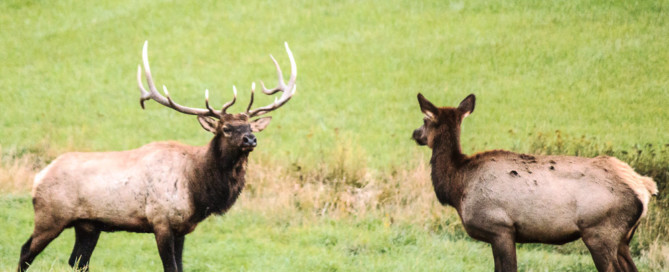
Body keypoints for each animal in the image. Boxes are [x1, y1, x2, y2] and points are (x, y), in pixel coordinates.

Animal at [17, 41, 298, 272]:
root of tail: (38, 176)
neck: (198, 188)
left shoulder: (183, 228)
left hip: (87, 225)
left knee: (77, 262)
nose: (250, 140)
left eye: (250, 126)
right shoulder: (160, 220)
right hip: (50, 216)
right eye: (226, 128)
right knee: (25, 252)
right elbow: (170, 268)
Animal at [412, 92, 656, 270]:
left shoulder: (500, 227)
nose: (415, 133)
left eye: (425, 119)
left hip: (600, 232)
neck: (458, 187)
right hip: (623, 239)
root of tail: (644, 189)